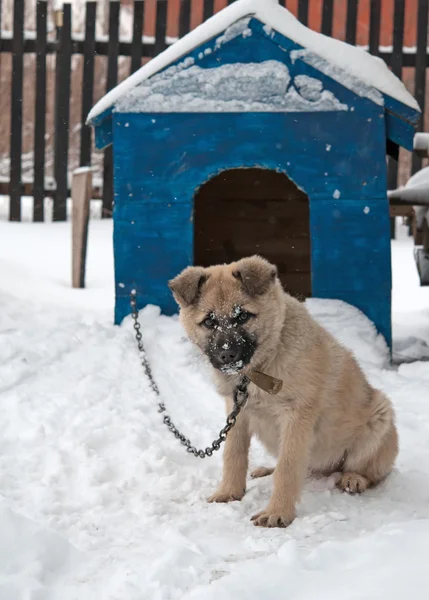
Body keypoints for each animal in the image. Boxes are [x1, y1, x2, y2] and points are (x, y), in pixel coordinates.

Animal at [168, 255, 398, 528]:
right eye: (209, 321)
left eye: (243, 316)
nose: (227, 355)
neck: (260, 368)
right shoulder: (237, 414)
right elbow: (233, 454)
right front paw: (229, 492)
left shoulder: (296, 417)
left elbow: (288, 468)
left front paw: (278, 513)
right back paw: (267, 470)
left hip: (380, 414)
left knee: (370, 471)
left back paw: (354, 478)